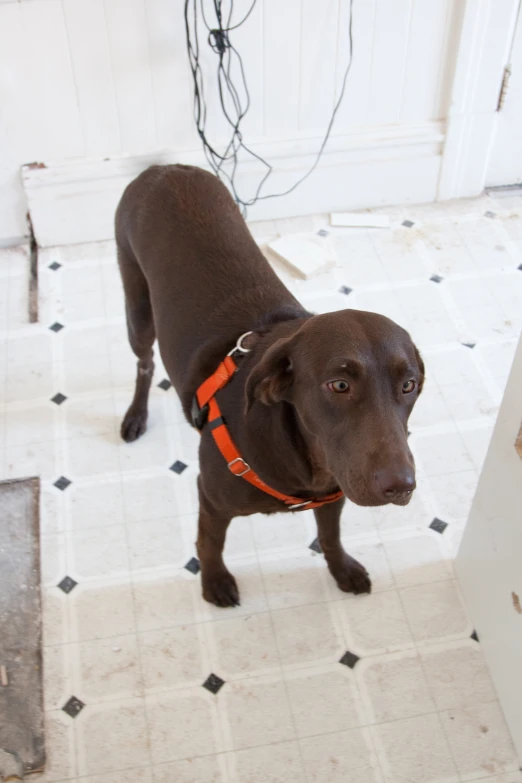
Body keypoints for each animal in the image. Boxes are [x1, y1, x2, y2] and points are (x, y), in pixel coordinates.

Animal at [114, 164, 422, 608]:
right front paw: (214, 581)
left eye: (409, 384)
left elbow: (330, 535)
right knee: (144, 362)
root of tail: (163, 168)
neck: (303, 458)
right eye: (339, 384)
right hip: (137, 306)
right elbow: (210, 544)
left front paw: (341, 569)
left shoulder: (334, 492)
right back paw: (136, 415)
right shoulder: (211, 498)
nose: (400, 486)